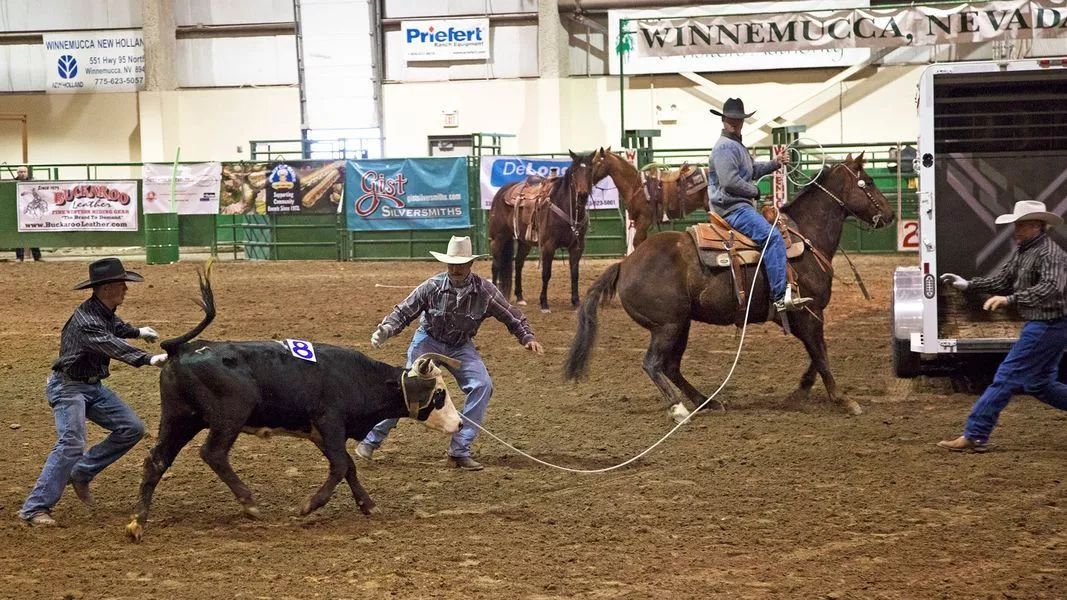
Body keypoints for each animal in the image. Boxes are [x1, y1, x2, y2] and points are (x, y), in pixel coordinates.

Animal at [488, 149, 597, 309]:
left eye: (590, 170)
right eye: (574, 172)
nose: (582, 195)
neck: (566, 206)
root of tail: (501, 192)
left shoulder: (577, 246)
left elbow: (575, 273)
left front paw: (576, 301)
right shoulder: (548, 245)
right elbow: (546, 273)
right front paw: (544, 303)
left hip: (524, 242)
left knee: (518, 264)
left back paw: (520, 297)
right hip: (499, 238)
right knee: (496, 265)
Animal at [563, 156, 896, 420]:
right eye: (868, 182)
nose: (891, 215)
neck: (806, 236)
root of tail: (625, 264)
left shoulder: (805, 317)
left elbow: (816, 357)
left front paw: (800, 393)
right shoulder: (809, 314)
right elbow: (822, 357)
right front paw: (844, 400)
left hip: (681, 324)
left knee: (671, 366)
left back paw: (707, 402)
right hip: (667, 326)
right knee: (653, 364)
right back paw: (679, 408)